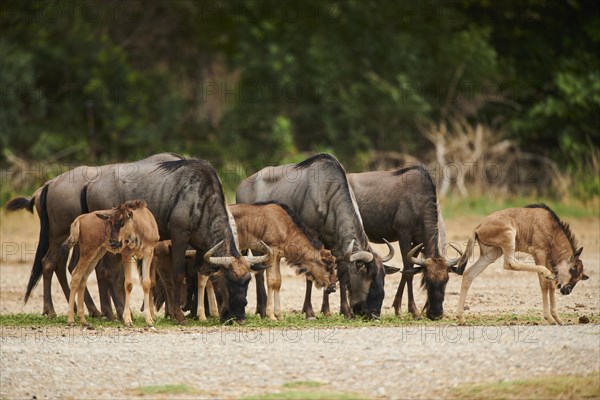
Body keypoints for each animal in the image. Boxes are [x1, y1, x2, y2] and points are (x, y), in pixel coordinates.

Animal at [62, 200, 159, 328]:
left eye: (122, 223)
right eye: (110, 222)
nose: (112, 242)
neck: (142, 227)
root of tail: (82, 218)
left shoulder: (148, 254)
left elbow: (146, 284)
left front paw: (149, 320)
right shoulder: (126, 255)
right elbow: (128, 284)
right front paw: (127, 319)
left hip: (96, 255)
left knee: (83, 278)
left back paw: (83, 320)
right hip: (87, 253)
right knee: (76, 275)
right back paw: (70, 319)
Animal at [458, 203, 588, 324]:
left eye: (580, 277)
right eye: (574, 269)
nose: (567, 290)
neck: (551, 227)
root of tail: (478, 228)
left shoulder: (548, 259)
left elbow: (551, 285)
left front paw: (557, 319)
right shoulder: (539, 253)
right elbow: (544, 284)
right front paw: (549, 318)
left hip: (492, 253)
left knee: (469, 274)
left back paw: (462, 319)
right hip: (509, 237)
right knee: (509, 264)